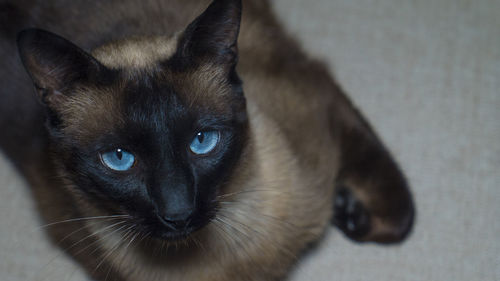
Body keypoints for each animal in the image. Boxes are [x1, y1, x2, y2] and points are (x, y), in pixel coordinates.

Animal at [0, 0, 414, 280]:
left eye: (202, 141)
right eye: (119, 158)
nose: (178, 212)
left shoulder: (320, 95)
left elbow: (401, 217)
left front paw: (350, 212)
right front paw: (347, 208)